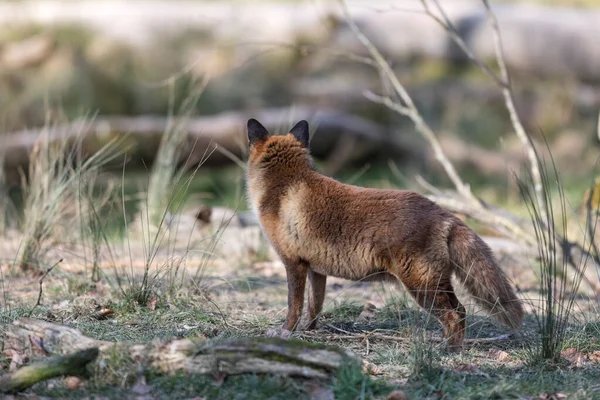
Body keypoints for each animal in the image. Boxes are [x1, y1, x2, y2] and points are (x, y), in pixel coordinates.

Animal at [246, 117, 524, 352]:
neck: (284, 185)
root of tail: (443, 212)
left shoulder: (293, 263)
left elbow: (293, 306)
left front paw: (285, 333)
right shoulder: (315, 268)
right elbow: (314, 306)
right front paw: (308, 331)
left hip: (420, 286)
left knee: (454, 316)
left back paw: (448, 352)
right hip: (438, 283)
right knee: (462, 311)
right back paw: (450, 345)